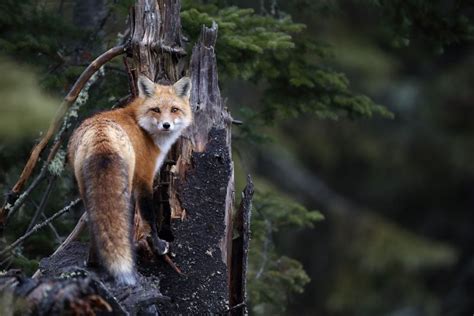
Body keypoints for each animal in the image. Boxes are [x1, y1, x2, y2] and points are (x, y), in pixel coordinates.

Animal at [67, 75, 193, 286]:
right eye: (156, 110)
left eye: (174, 109)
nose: (166, 125)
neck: (142, 127)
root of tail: (101, 134)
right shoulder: (144, 179)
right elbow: (148, 218)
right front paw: (158, 246)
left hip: (86, 188)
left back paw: (93, 262)